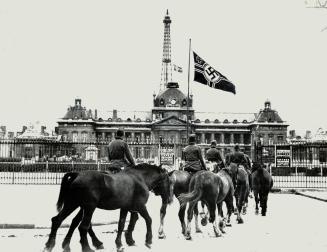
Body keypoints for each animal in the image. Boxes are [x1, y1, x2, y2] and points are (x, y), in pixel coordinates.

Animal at [43, 162, 172, 252]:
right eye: (169, 181)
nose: (169, 199)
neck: (140, 178)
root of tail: (78, 174)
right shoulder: (140, 206)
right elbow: (148, 219)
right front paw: (148, 240)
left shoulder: (125, 208)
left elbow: (121, 224)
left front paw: (119, 244)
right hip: (88, 207)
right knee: (83, 226)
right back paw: (87, 247)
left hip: (73, 204)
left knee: (58, 220)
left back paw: (51, 245)